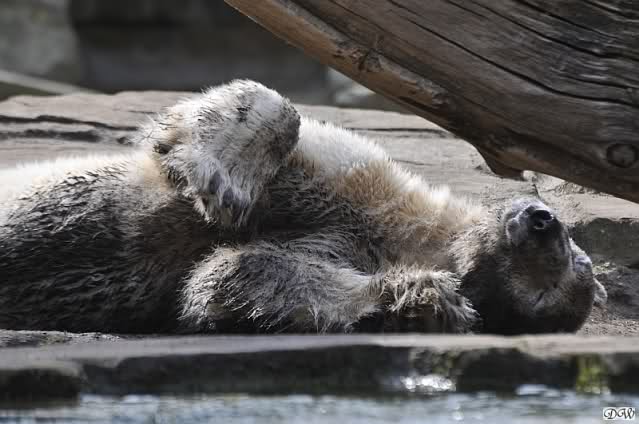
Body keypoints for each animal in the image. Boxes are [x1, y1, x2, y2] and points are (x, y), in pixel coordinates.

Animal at [0, 80, 607, 335]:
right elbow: (284, 117)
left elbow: (231, 275)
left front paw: (426, 297)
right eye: (577, 252)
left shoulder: (351, 236)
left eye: (551, 287)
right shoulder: (359, 182)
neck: (402, 232)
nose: (542, 221)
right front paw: (219, 178)